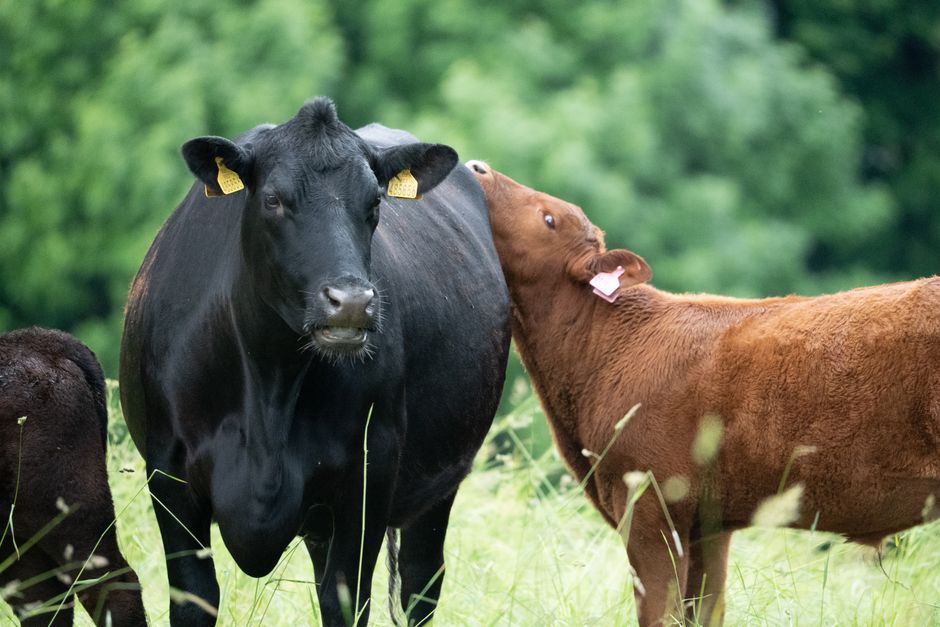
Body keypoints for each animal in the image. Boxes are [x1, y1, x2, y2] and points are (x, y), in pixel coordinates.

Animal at [120, 98, 511, 626]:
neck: (270, 387)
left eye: (375, 204)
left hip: (439, 485)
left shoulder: (368, 476)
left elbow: (344, 600)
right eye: (273, 200)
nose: (351, 302)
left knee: (419, 586)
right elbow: (194, 598)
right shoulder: (168, 473)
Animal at [467, 160, 940, 627]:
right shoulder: (708, 526)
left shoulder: (651, 503)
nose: (477, 166)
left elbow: (661, 612)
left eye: (548, 218)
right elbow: (702, 610)